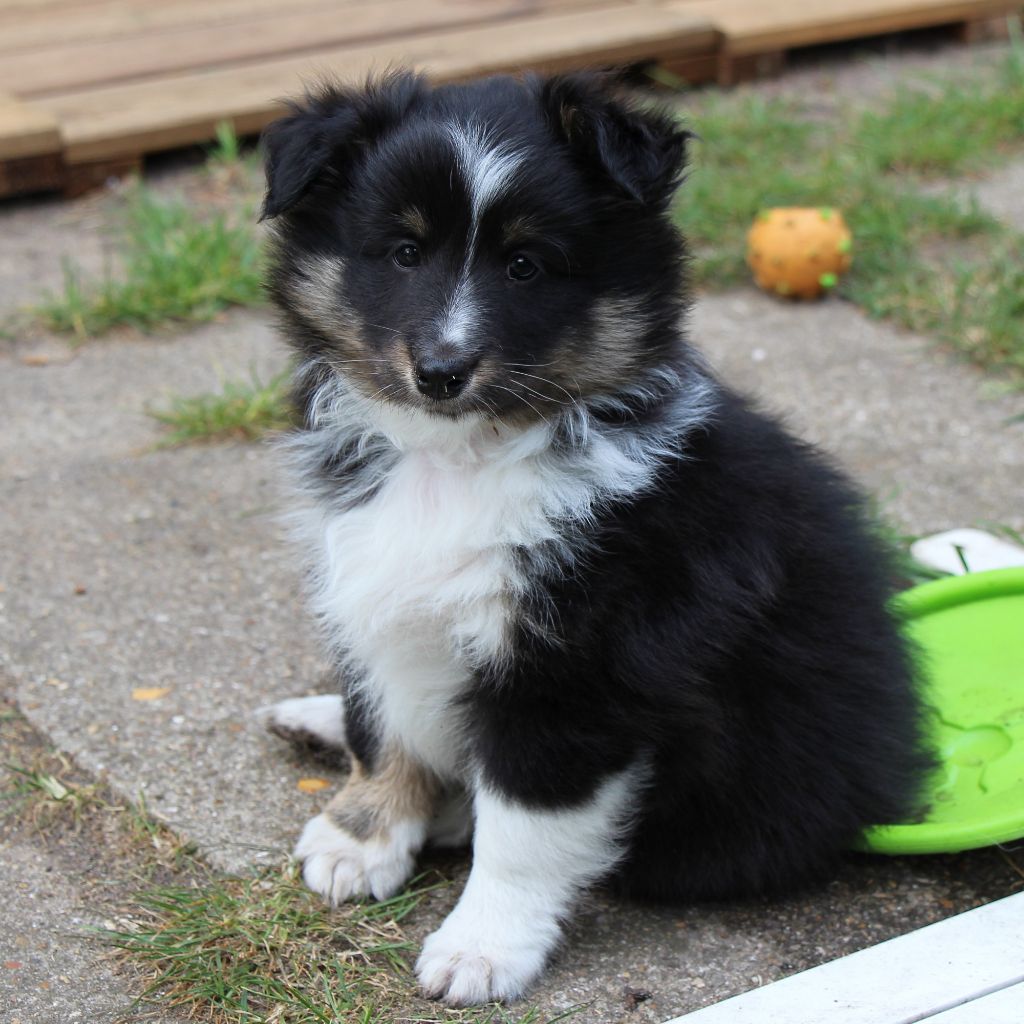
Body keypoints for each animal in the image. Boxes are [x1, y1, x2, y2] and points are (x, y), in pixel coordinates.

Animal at [258, 74, 937, 1007]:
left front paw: (480, 950)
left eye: (525, 265)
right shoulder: (371, 586)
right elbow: (381, 725)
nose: (440, 371)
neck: (463, 457)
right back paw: (314, 718)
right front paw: (361, 837)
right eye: (402, 252)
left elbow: (521, 829)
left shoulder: (578, 670)